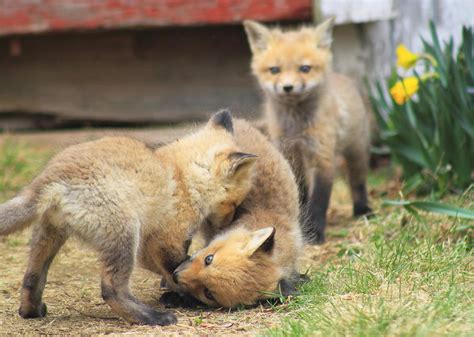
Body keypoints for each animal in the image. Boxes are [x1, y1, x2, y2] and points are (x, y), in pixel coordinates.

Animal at [0, 109, 256, 322]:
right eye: (234, 204)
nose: (227, 227)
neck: (182, 176)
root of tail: (51, 176)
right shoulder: (164, 239)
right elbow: (177, 269)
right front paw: (186, 293)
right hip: (125, 234)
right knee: (111, 290)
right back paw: (153, 318)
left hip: (50, 234)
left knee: (32, 277)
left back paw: (31, 311)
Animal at [244, 18, 374, 243]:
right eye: (274, 70)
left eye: (305, 68)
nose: (288, 87)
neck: (296, 128)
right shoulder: (290, 154)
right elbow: (300, 194)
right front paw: (301, 224)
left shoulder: (322, 157)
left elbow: (319, 201)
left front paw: (315, 233)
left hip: (356, 151)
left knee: (358, 182)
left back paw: (362, 209)